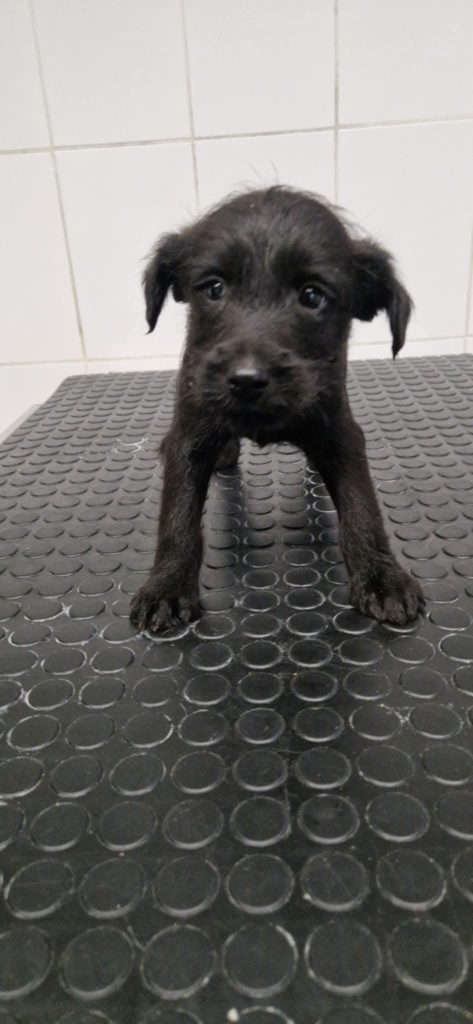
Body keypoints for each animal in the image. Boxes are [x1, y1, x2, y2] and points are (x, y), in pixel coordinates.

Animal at [130, 186, 425, 634]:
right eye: (213, 288)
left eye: (312, 296)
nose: (247, 380)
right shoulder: (187, 438)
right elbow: (177, 517)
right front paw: (166, 585)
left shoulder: (339, 434)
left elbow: (362, 507)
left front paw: (382, 576)